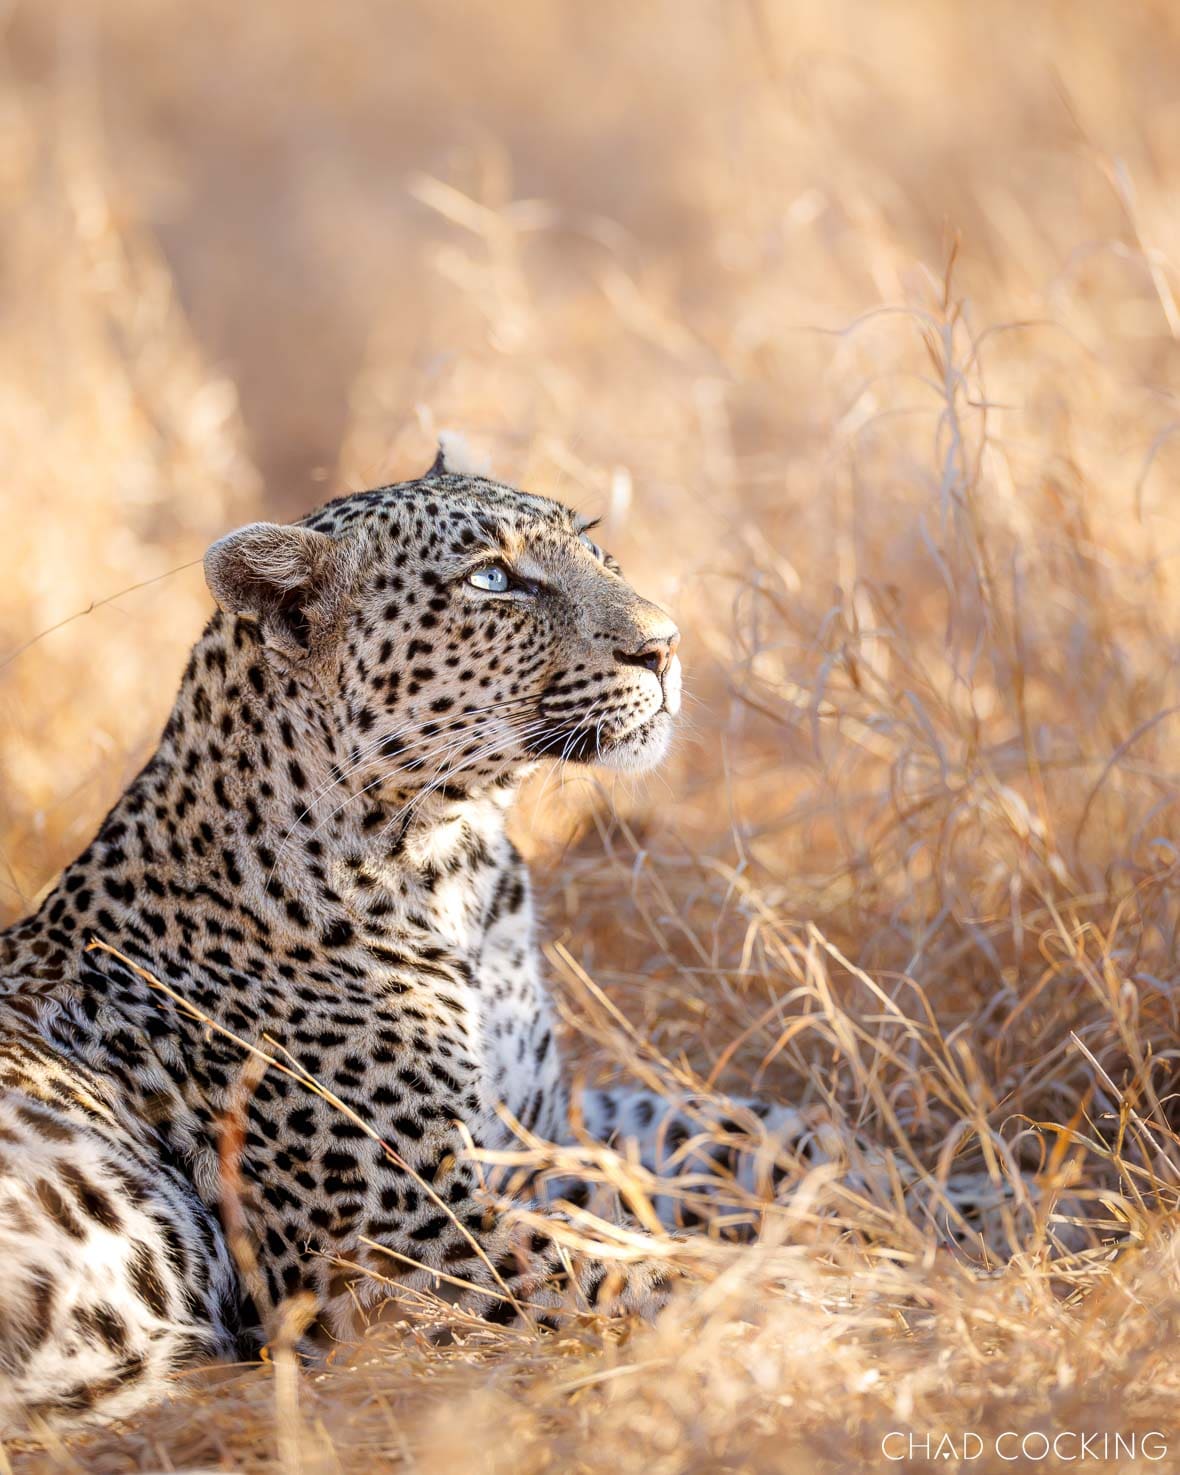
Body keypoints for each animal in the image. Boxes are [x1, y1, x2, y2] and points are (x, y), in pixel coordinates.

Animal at [0, 446, 859, 1434]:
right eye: (493, 580)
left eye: (592, 544)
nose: (667, 644)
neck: (463, 875)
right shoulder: (405, 1235)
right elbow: (633, 1272)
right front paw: (842, 1306)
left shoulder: (533, 1129)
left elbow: (739, 1125)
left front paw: (926, 1195)